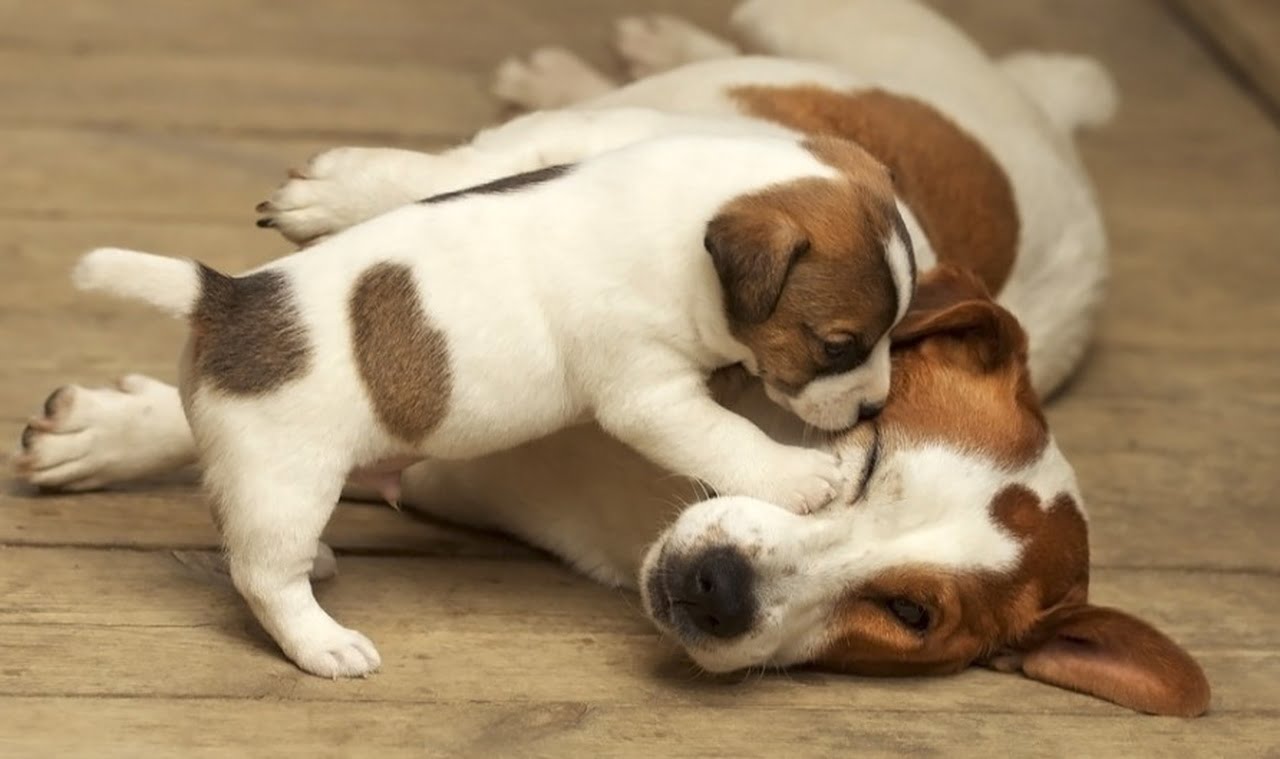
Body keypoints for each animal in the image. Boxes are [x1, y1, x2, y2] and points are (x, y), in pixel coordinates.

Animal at [70, 130, 916, 675]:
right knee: (262, 574)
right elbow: (722, 435)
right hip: (287, 478)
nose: (872, 409)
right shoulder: (648, 391)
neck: (683, 223)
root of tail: (226, 299)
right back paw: (322, 642)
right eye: (838, 345)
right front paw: (800, 475)